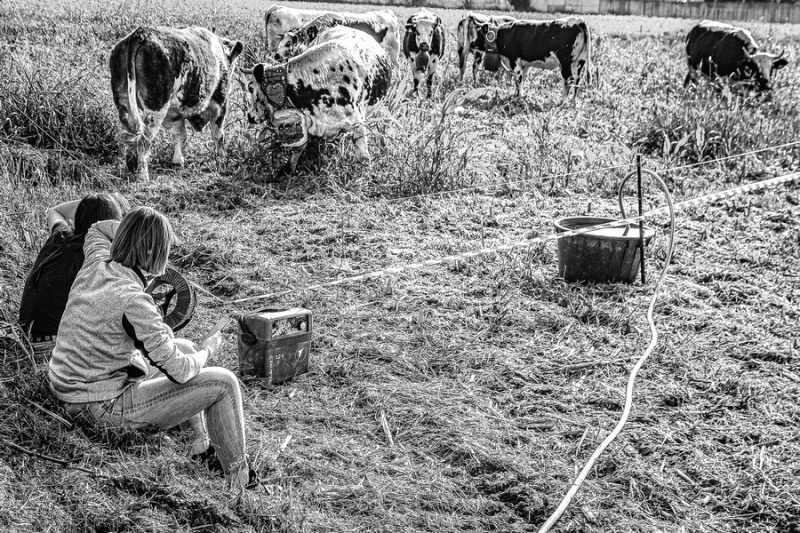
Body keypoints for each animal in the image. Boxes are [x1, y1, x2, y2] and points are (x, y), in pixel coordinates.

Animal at [108, 26, 244, 181]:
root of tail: (142, 33)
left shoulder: (174, 113)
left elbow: (180, 134)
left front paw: (178, 161)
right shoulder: (220, 103)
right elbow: (218, 134)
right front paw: (221, 159)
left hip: (123, 99)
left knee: (130, 134)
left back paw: (131, 166)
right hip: (156, 106)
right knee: (143, 141)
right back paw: (143, 177)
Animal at [239, 27, 392, 172]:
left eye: (250, 88)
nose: (250, 117)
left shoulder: (357, 122)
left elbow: (363, 157)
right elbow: (298, 149)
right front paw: (286, 171)